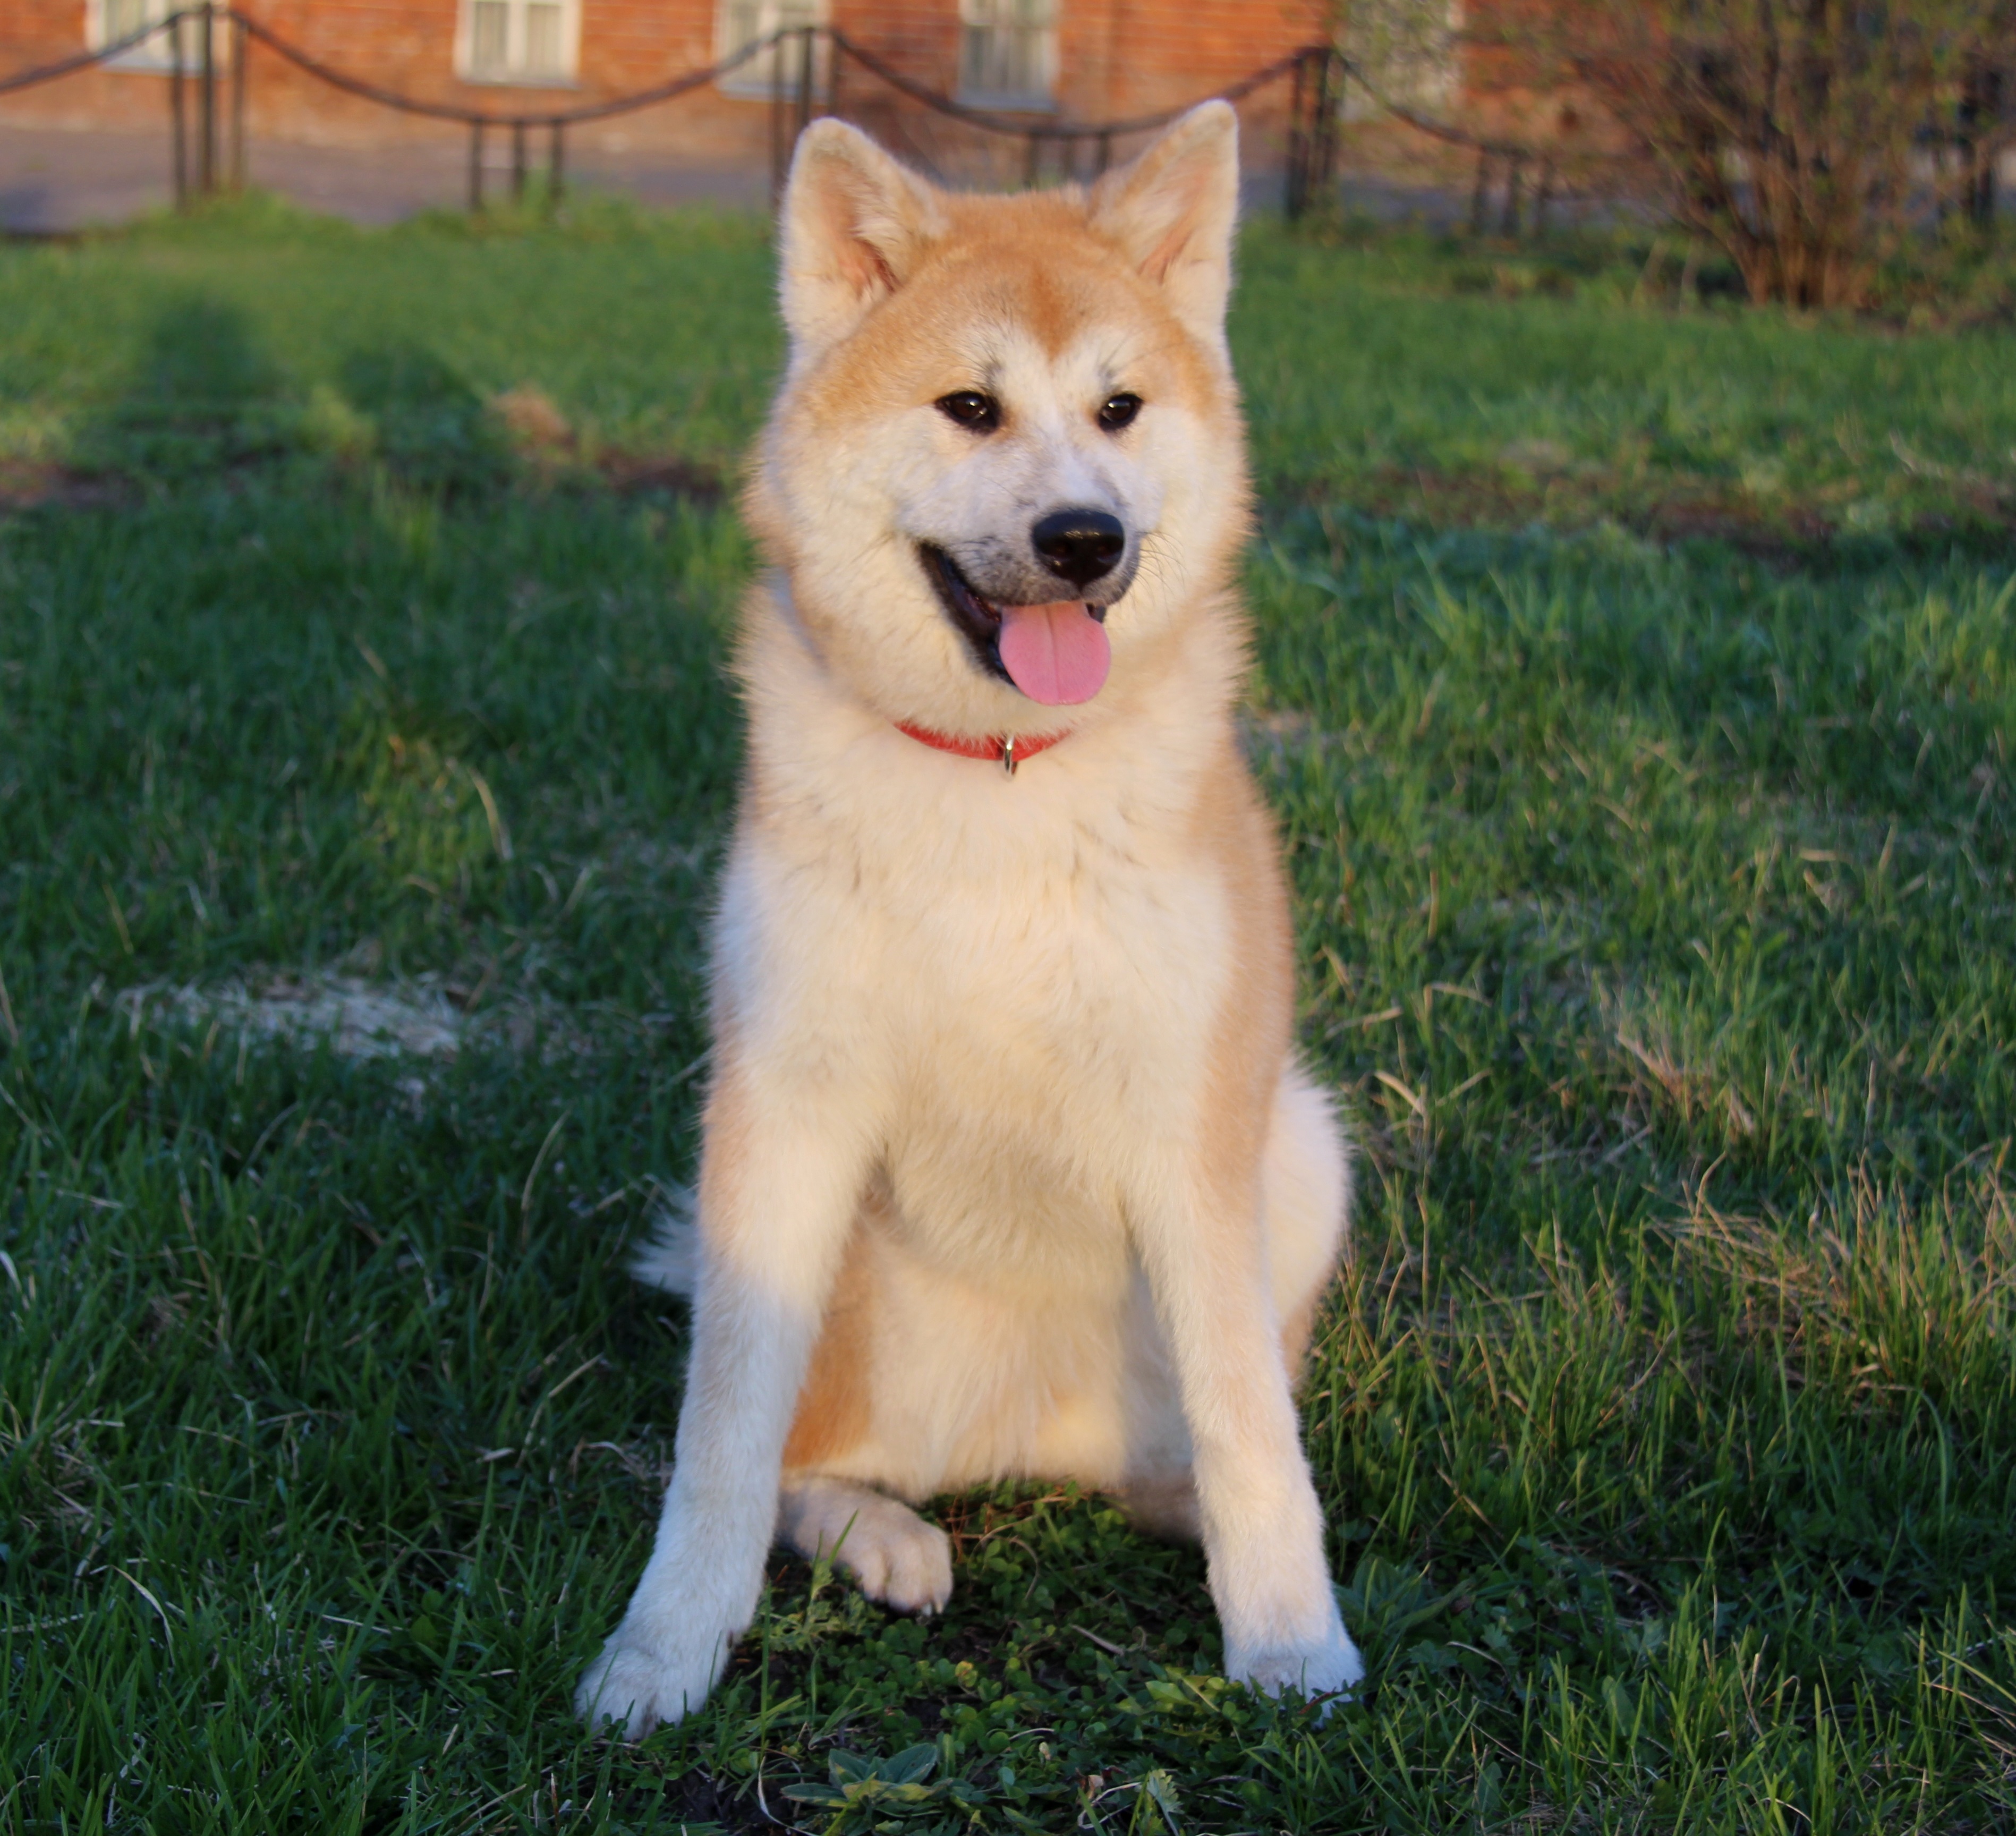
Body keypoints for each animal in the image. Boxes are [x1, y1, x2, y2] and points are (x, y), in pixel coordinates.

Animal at [576, 100, 1363, 1741]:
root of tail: (1029, 1442)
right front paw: (661, 1652)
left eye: (1120, 408)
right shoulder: (782, 1109)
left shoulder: (1197, 1124)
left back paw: (1173, 1501)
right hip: (833, 1271)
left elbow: (1255, 1433)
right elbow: (720, 1449)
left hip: (1302, 1146)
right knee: (809, 1462)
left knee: (1198, 1441)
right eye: (969, 408)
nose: (1083, 537)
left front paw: (1290, 1641)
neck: (1001, 776)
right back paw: (883, 1536)